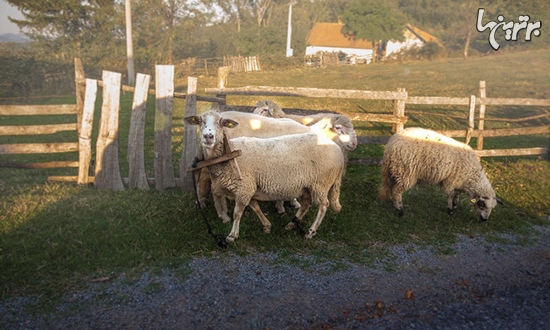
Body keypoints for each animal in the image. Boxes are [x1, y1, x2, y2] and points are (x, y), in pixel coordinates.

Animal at [188, 111, 348, 242]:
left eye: (220, 123)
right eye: (200, 121)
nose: (208, 137)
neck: (228, 155)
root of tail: (338, 152)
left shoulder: (244, 188)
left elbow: (237, 213)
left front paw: (232, 235)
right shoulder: (249, 188)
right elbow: (256, 207)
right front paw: (267, 226)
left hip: (321, 184)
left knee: (323, 206)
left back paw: (311, 231)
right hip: (309, 185)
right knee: (306, 204)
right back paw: (291, 224)